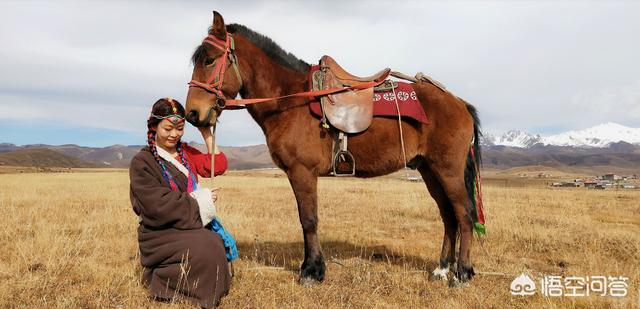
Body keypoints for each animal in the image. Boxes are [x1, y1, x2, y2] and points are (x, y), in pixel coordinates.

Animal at [182, 12, 482, 286]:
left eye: (209, 60)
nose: (193, 114)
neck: (290, 101)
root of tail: (459, 103)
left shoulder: (302, 172)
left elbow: (308, 220)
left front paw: (312, 271)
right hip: (430, 171)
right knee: (448, 216)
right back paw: (442, 269)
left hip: (448, 170)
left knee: (464, 215)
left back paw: (462, 273)